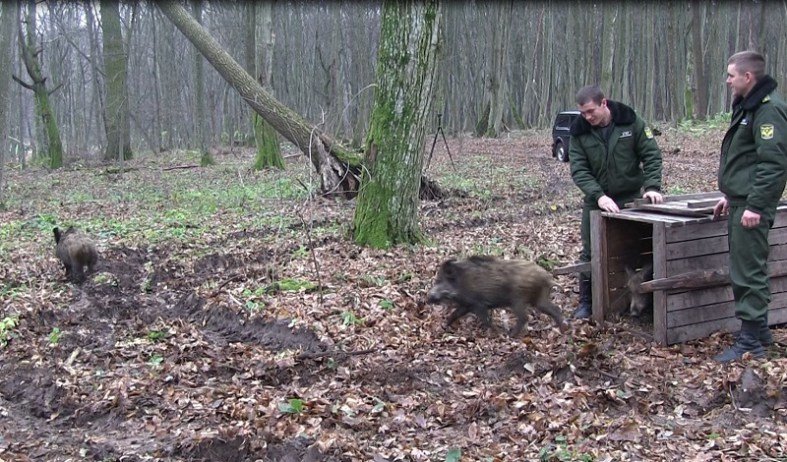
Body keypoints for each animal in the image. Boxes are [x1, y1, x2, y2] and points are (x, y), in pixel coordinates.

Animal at [426, 255, 566, 335]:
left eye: (439, 280)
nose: (427, 298)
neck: (461, 283)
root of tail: (548, 277)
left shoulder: (478, 304)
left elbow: (486, 320)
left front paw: (496, 332)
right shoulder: (467, 305)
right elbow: (455, 314)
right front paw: (444, 326)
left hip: (518, 300)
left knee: (524, 317)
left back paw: (510, 335)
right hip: (540, 298)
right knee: (555, 309)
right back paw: (563, 328)